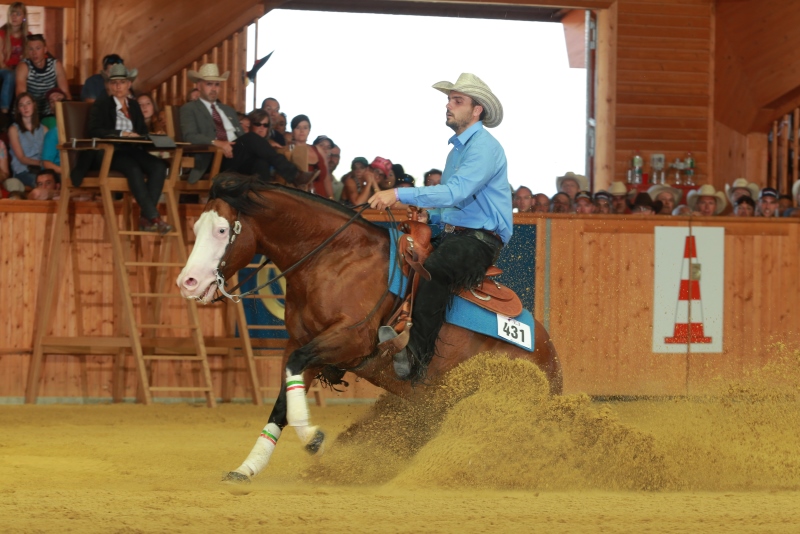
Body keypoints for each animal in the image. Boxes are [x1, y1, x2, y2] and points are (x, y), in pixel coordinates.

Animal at [177, 174, 564, 484]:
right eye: (194, 229)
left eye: (222, 230)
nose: (187, 282)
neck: (335, 258)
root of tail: (550, 355)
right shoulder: (305, 345)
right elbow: (283, 398)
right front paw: (247, 467)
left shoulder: (349, 340)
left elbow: (294, 378)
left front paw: (313, 436)